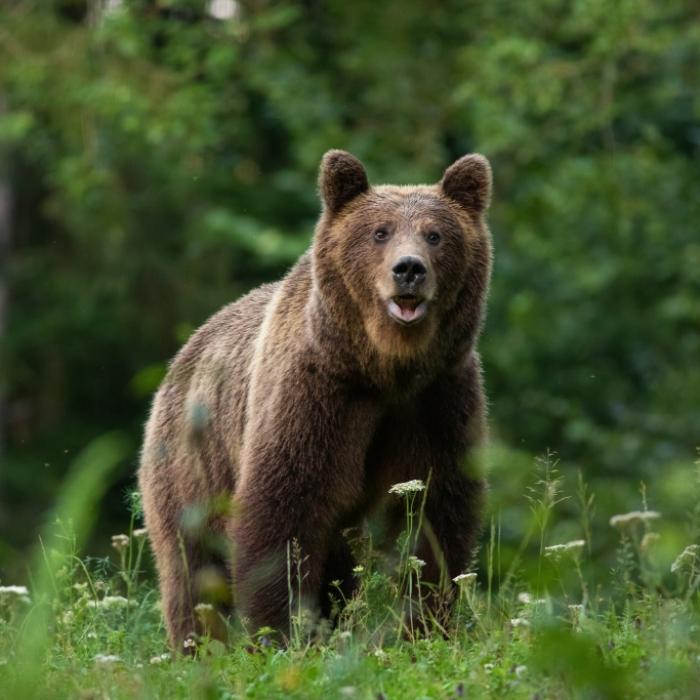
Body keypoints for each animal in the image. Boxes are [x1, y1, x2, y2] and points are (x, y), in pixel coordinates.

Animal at [138, 149, 493, 650]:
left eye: (435, 234)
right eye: (379, 231)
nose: (409, 269)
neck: (384, 369)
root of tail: (183, 353)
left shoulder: (437, 399)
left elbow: (435, 513)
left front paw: (425, 625)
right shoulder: (317, 395)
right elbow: (284, 509)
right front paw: (281, 632)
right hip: (192, 464)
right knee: (193, 567)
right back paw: (199, 645)